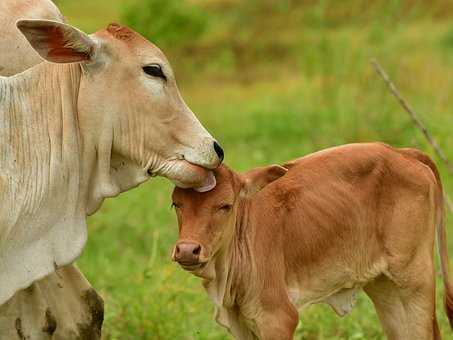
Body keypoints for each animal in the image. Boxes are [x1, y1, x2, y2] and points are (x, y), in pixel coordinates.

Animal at [170, 142, 452, 338]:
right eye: (176, 204)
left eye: (225, 205)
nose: (187, 250)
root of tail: (402, 152)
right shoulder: (241, 324)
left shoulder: (277, 318)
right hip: (387, 289)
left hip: (415, 282)